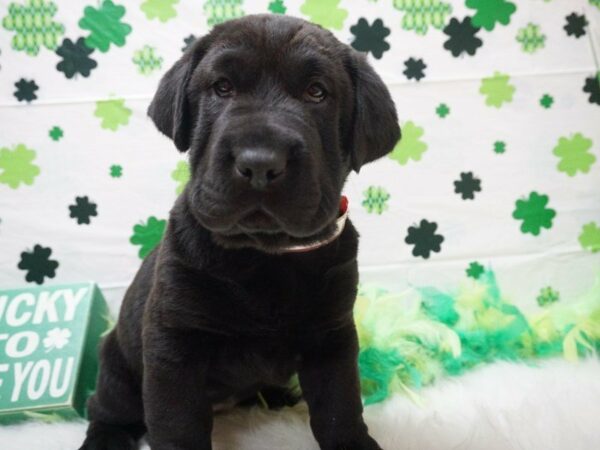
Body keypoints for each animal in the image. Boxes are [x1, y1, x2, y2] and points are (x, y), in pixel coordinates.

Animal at [79, 14, 398, 450]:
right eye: (222, 87)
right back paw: (105, 439)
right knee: (105, 410)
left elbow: (340, 407)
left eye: (317, 92)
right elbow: (176, 424)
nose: (260, 163)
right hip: (118, 368)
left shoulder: (332, 337)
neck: (264, 255)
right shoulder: (173, 343)